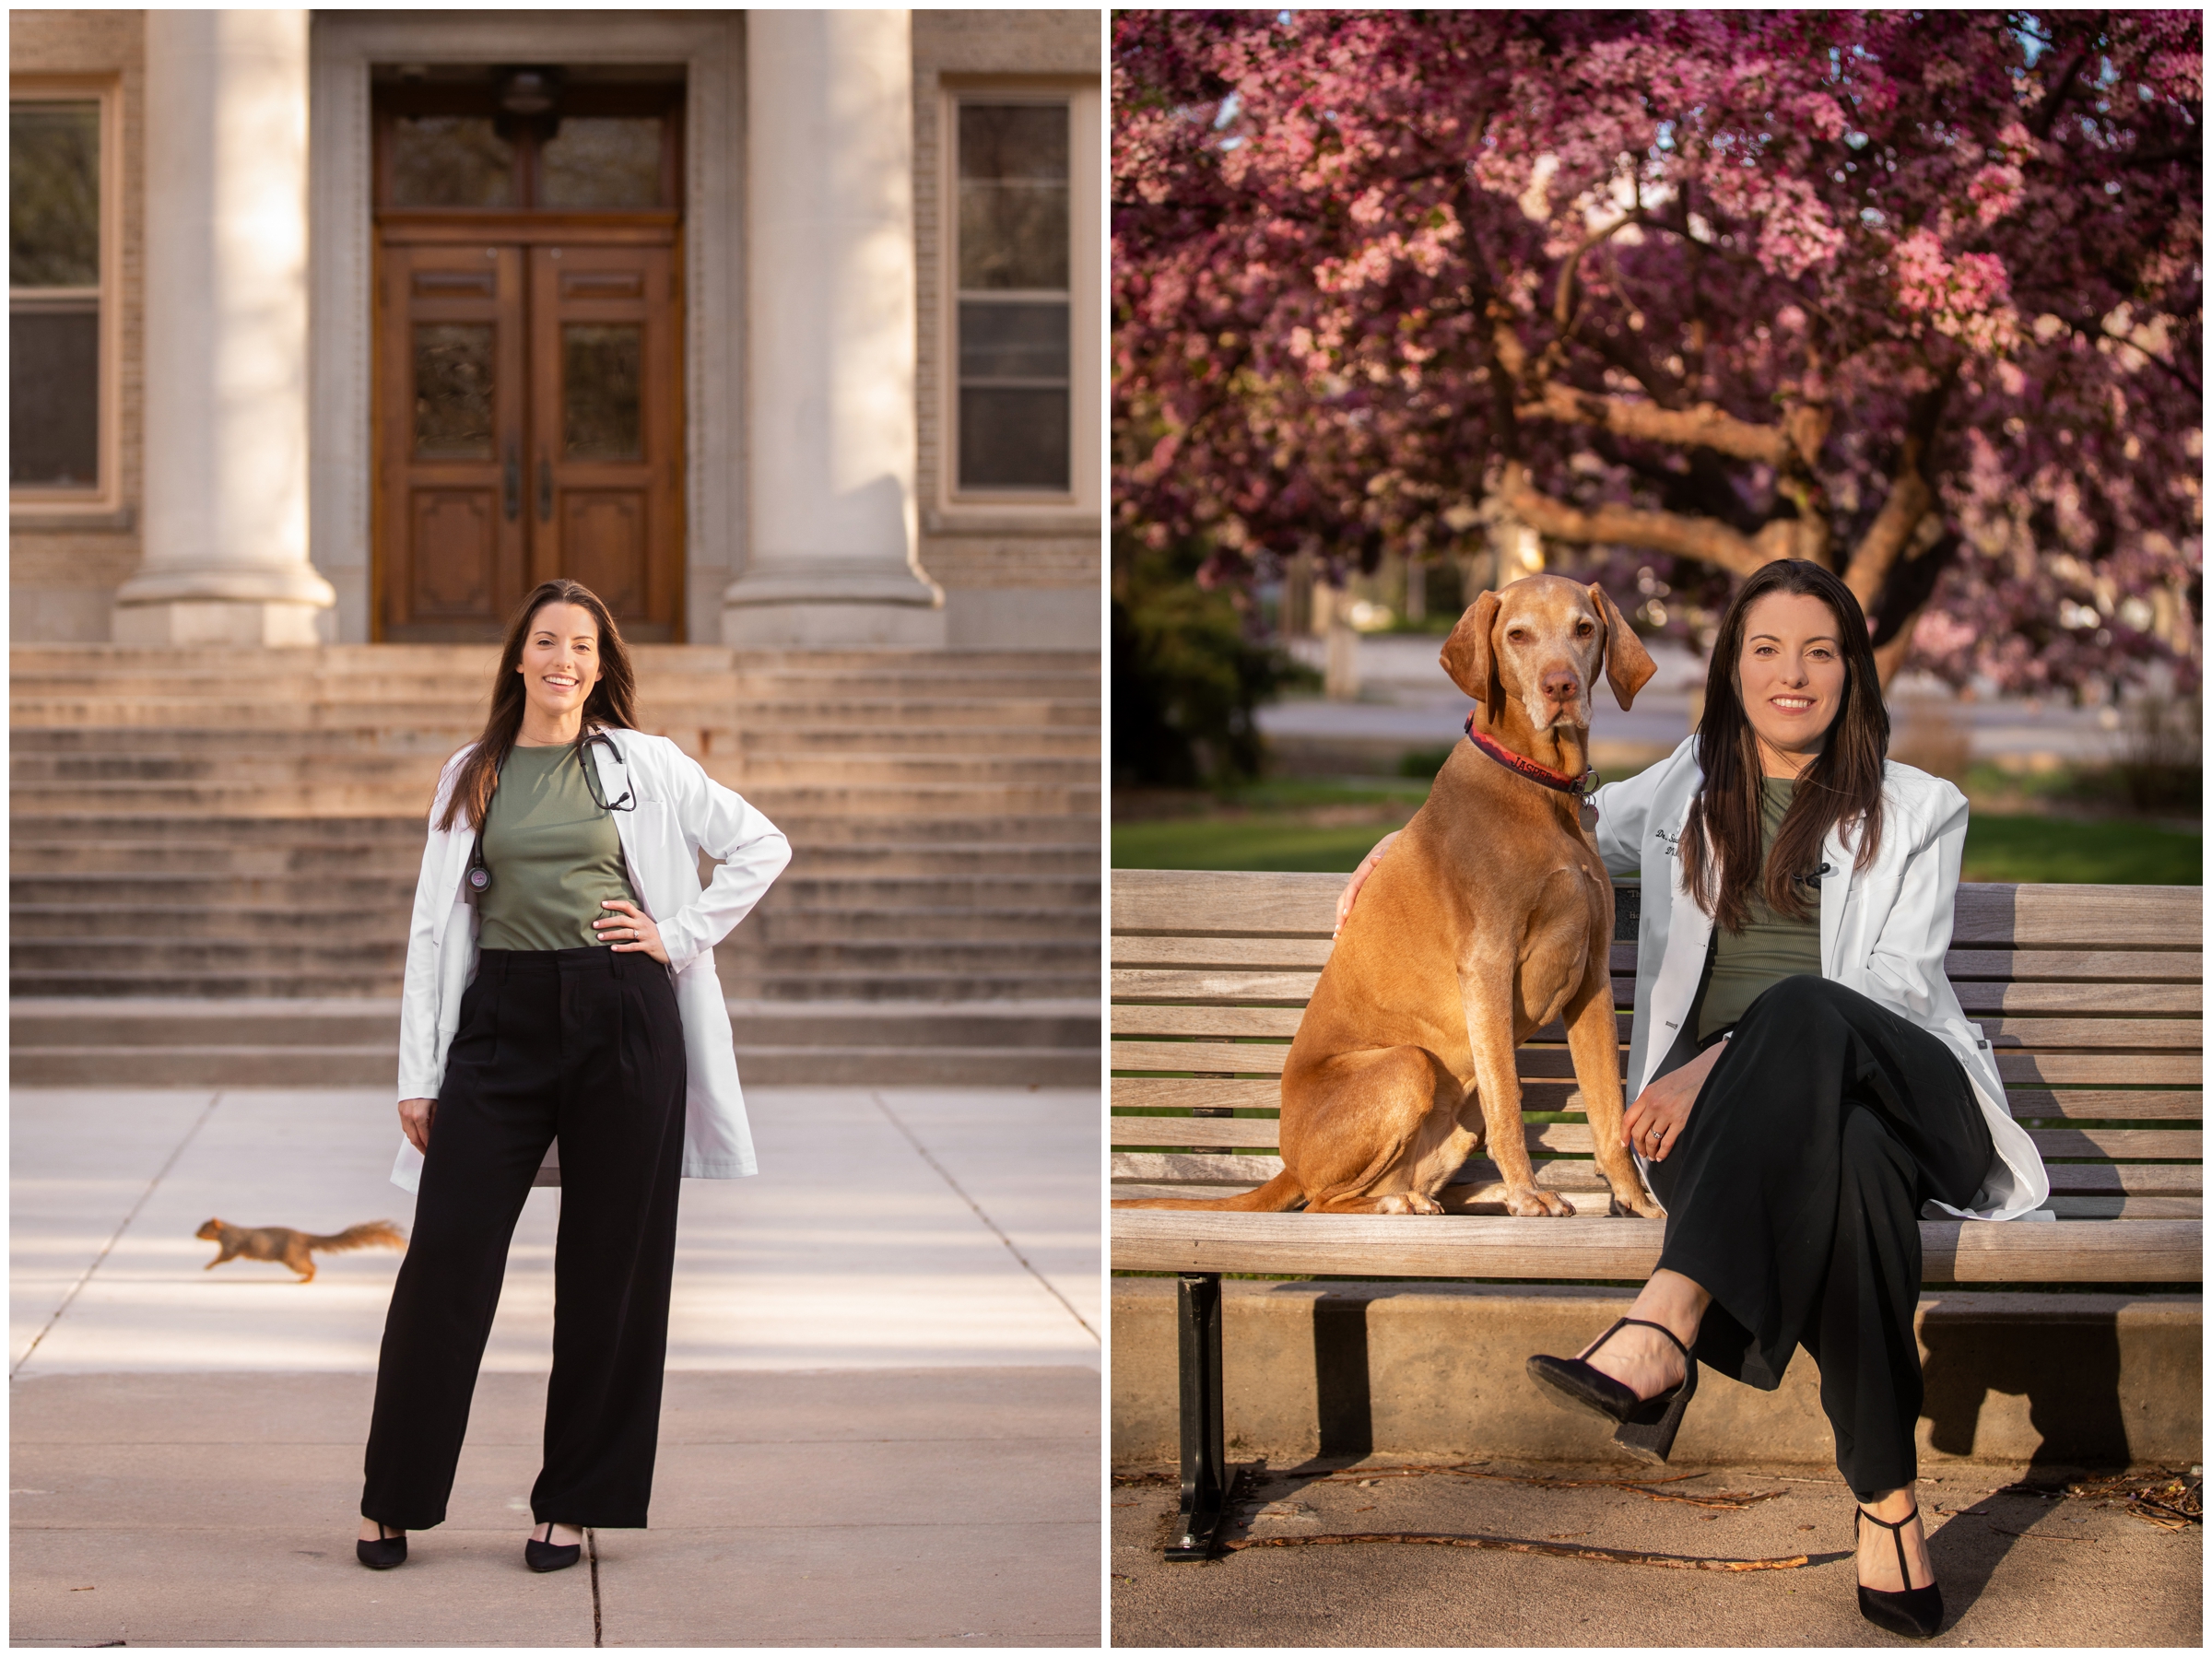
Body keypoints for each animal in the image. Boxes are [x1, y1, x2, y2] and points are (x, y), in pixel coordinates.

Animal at [194, 1212, 406, 1283]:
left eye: (205, 1228)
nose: (195, 1234)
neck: (226, 1230)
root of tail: (304, 1237)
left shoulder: (231, 1244)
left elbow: (225, 1256)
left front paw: (208, 1266)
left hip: (293, 1258)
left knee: (311, 1267)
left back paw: (306, 1279)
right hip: (299, 1254)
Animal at [1124, 579, 1663, 1212]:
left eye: (1584, 628)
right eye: (1517, 635)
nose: (1561, 686)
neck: (1540, 786)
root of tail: (1288, 1163)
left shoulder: (1592, 977)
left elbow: (1609, 1110)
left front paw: (1636, 1201)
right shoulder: (1487, 966)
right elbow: (1509, 1101)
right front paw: (1529, 1196)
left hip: (1456, 1113)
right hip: (1408, 1064)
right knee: (1325, 1203)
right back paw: (1410, 1202)